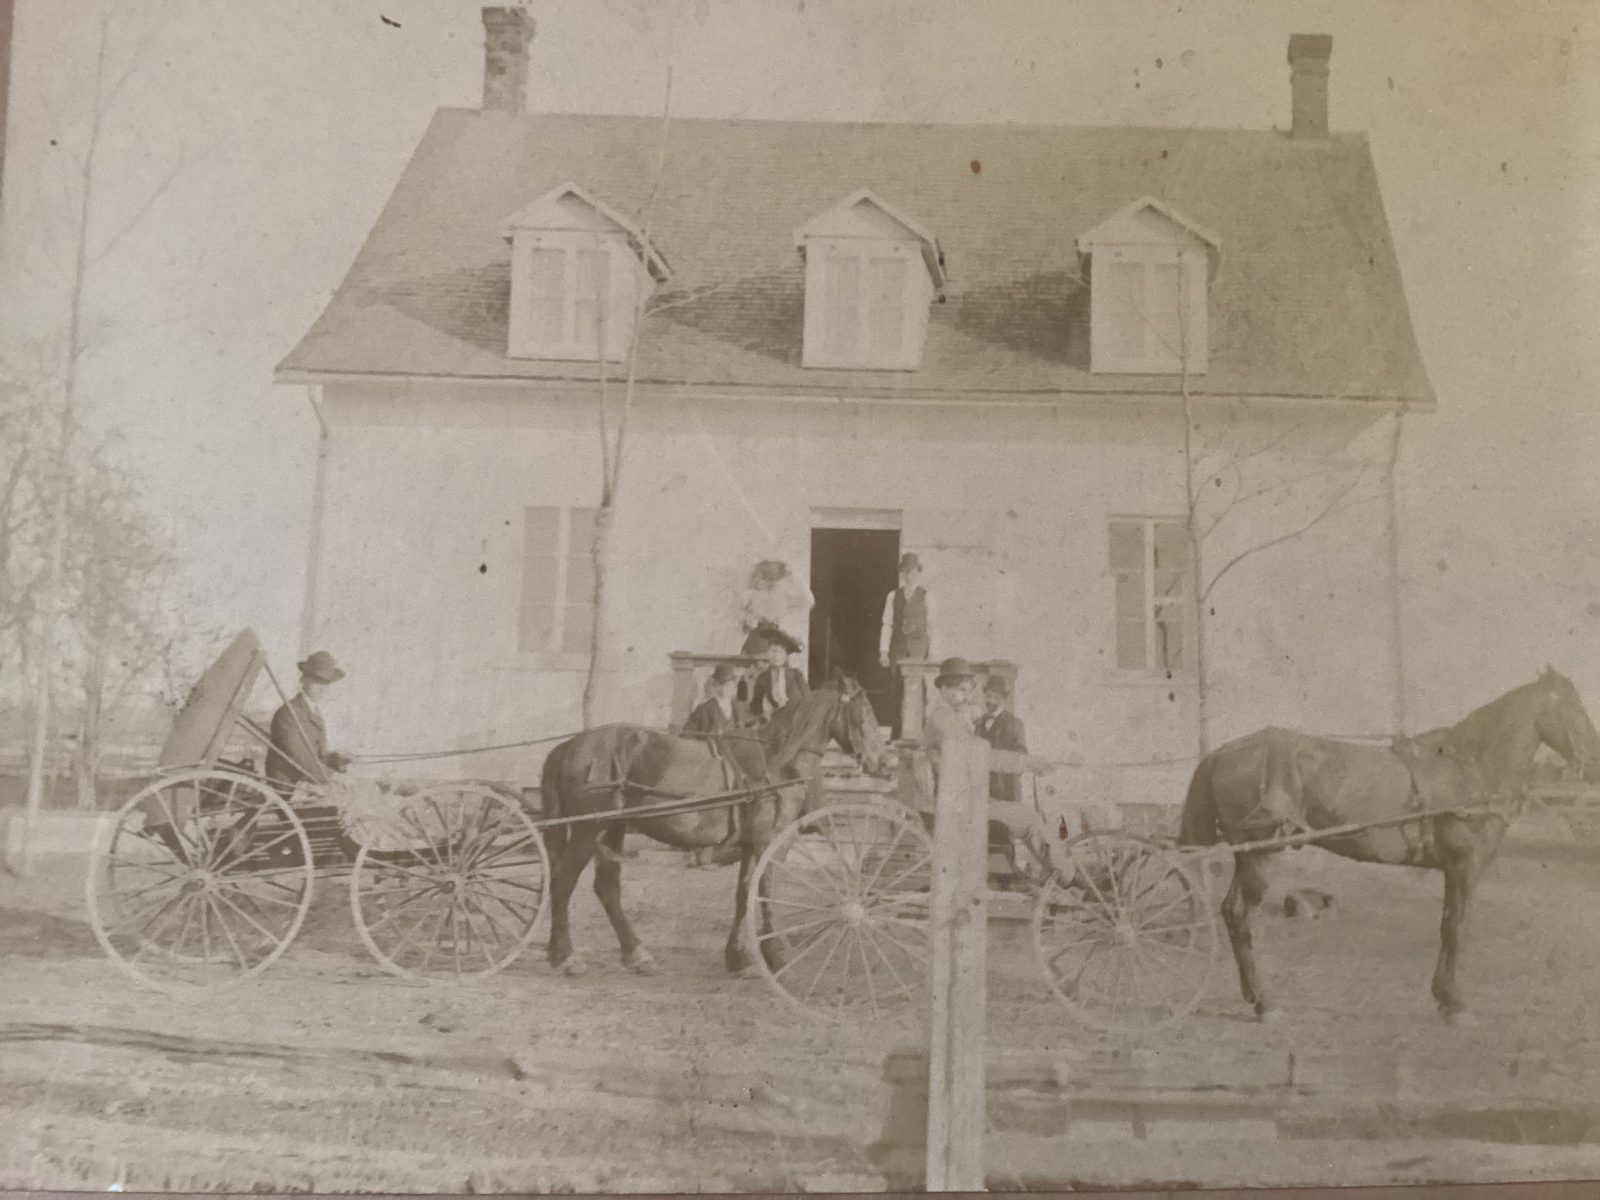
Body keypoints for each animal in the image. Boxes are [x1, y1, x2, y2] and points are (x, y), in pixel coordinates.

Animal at [537, 678, 889, 979]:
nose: (882, 763)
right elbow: (764, 893)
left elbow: (744, 895)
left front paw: (738, 958)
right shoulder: (770, 843)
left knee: (606, 887)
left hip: (612, 830)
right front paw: (777, 955)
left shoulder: (750, 846)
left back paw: (635, 955)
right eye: (865, 712)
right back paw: (567, 956)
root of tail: (567, 747)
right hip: (588, 829)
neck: (775, 761)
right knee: (563, 883)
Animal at [1177, 668, 1600, 1024]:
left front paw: (1443, 997)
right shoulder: (1465, 866)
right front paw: (1455, 1003)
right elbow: (1456, 928)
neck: (1469, 768)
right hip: (1259, 852)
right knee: (1237, 913)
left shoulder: (1453, 870)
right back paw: (1265, 1002)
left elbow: (1446, 925)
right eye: (1575, 710)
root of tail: (1225, 751)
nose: (1595, 763)